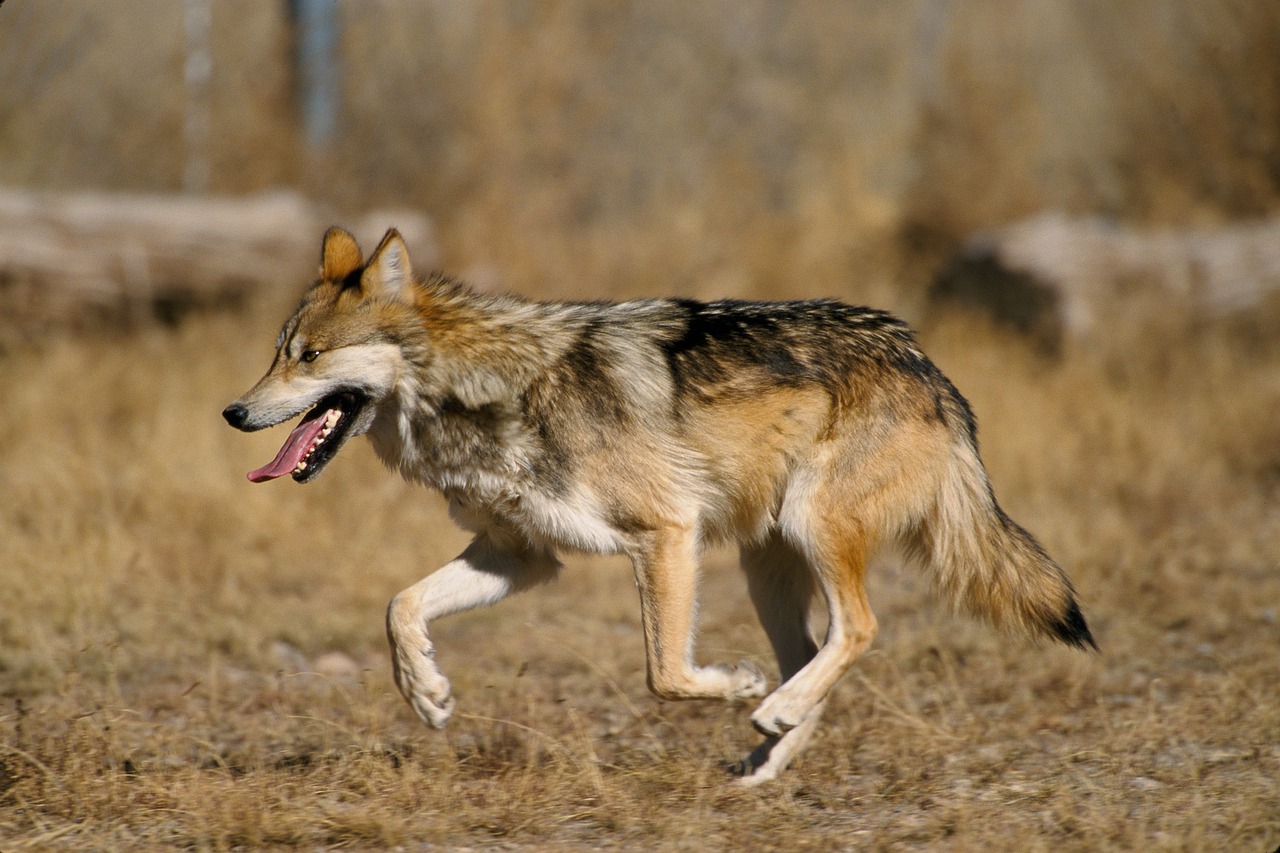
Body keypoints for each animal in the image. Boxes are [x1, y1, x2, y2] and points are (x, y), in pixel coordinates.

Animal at [223, 227, 1095, 784]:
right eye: (276, 353)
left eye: (310, 356)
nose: (233, 411)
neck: (485, 390)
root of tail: (926, 365)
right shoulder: (521, 556)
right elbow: (400, 606)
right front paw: (427, 693)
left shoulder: (666, 533)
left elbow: (666, 674)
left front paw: (734, 684)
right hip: (766, 566)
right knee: (815, 652)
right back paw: (766, 755)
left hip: (809, 530)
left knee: (858, 629)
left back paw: (768, 708)